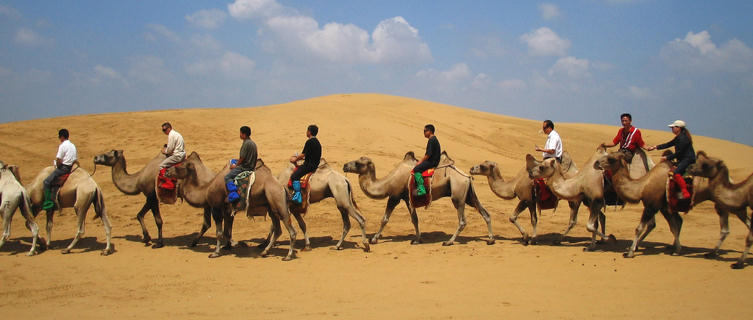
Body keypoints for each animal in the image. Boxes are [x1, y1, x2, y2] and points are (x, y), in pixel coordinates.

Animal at [166, 158, 296, 260]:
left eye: (179, 166)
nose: (167, 171)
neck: (207, 190)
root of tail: (282, 187)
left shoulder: (216, 207)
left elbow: (219, 232)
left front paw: (215, 252)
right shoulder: (227, 209)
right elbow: (227, 230)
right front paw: (228, 246)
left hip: (278, 201)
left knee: (291, 230)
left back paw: (288, 256)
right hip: (271, 208)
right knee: (277, 229)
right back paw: (264, 251)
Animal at [344, 151, 496, 246]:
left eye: (358, 163)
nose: (345, 165)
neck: (388, 182)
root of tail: (467, 177)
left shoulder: (395, 196)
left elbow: (385, 219)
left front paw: (374, 239)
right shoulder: (408, 199)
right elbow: (415, 219)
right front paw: (417, 239)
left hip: (458, 196)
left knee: (462, 221)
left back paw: (448, 242)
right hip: (469, 195)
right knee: (486, 213)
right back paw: (490, 240)